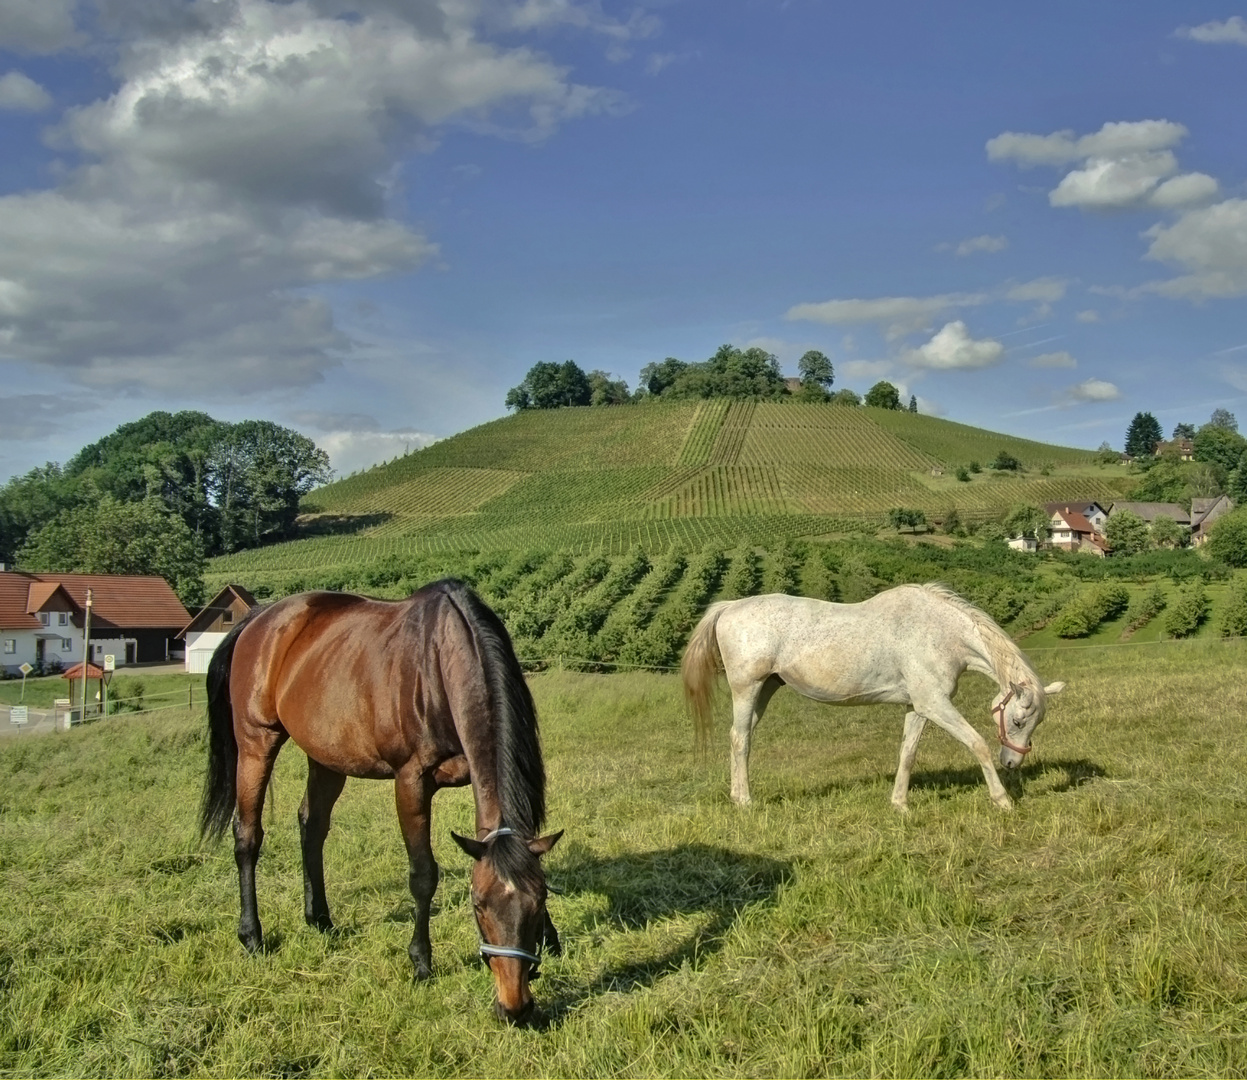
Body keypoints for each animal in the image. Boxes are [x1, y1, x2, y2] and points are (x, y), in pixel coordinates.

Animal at [200, 576, 566, 1022]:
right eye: (477, 904)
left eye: (539, 901)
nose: (514, 1007)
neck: (441, 661)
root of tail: (259, 618)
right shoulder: (410, 781)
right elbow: (423, 874)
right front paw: (421, 961)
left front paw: (551, 938)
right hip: (256, 742)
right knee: (248, 836)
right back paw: (252, 935)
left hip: (326, 756)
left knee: (311, 825)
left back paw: (319, 918)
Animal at [683, 581, 1062, 808]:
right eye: (1017, 720)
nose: (1012, 763)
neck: (940, 633)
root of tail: (729, 606)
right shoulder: (936, 705)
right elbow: (977, 744)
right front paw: (1002, 800)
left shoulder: (918, 707)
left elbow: (907, 753)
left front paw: (899, 804)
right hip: (747, 689)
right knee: (740, 739)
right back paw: (745, 801)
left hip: (765, 689)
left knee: (741, 735)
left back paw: (736, 794)